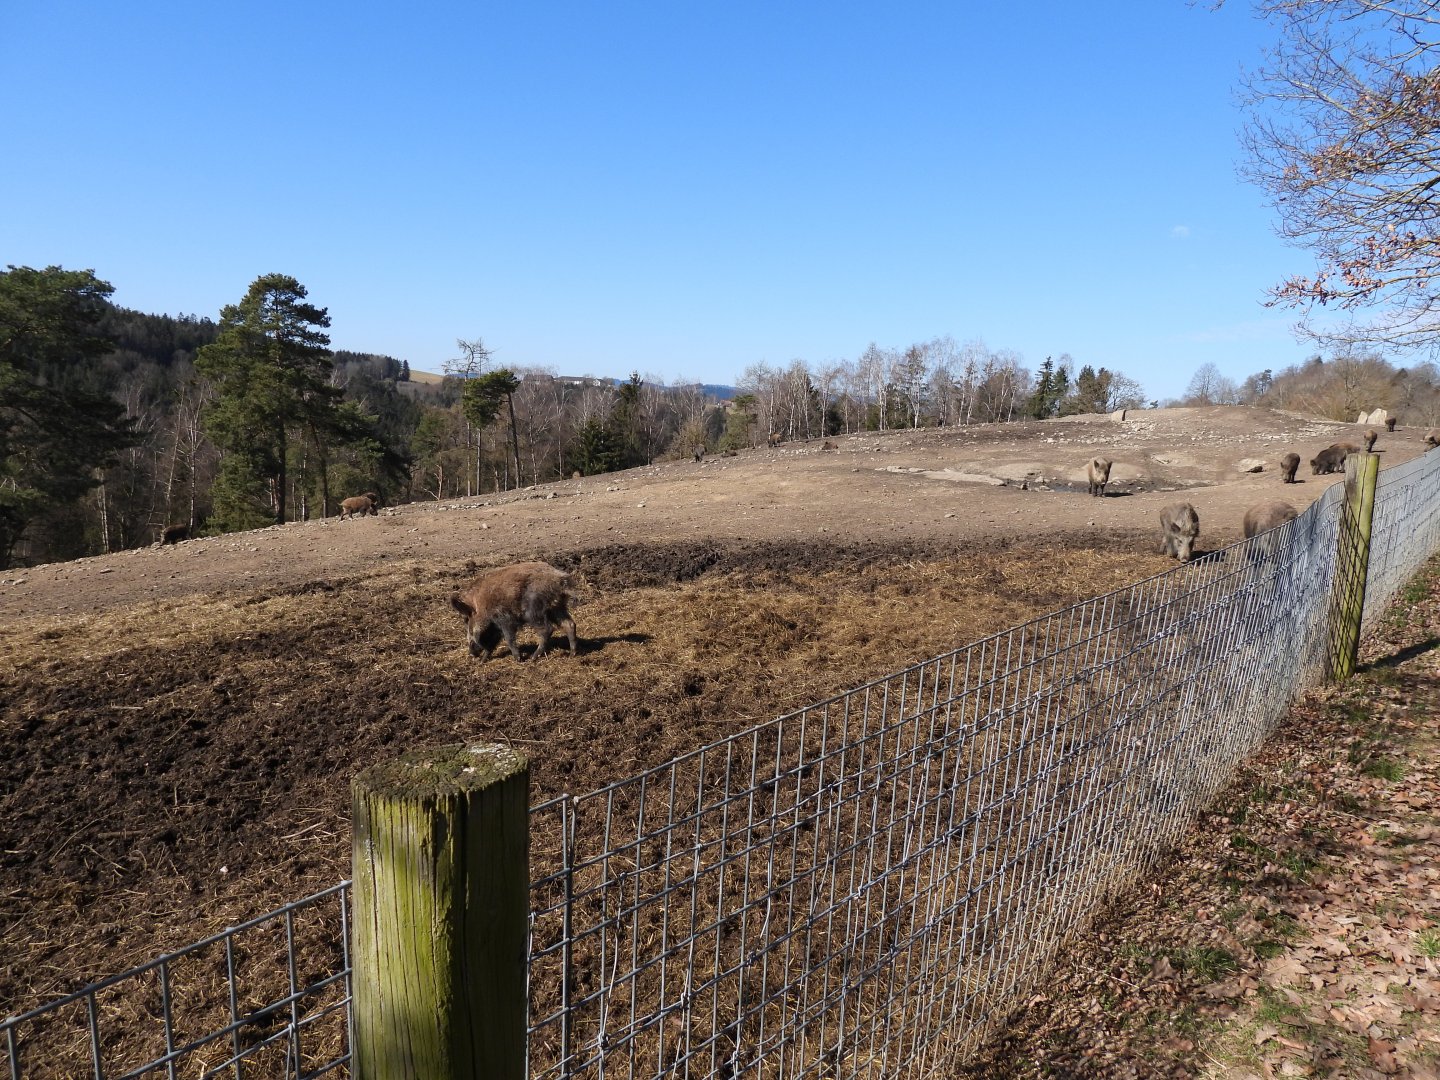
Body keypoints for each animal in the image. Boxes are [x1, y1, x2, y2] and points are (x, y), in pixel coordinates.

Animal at [450, 561, 578, 662]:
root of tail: (560, 581)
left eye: (468, 622)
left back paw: (533, 658)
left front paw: (518, 659)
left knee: (547, 629)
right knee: (569, 624)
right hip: (557, 607)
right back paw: (572, 654)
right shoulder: (495, 627)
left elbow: (509, 638)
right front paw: (482, 661)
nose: (471, 654)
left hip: (534, 611)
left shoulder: (504, 619)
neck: (481, 605)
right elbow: (493, 642)